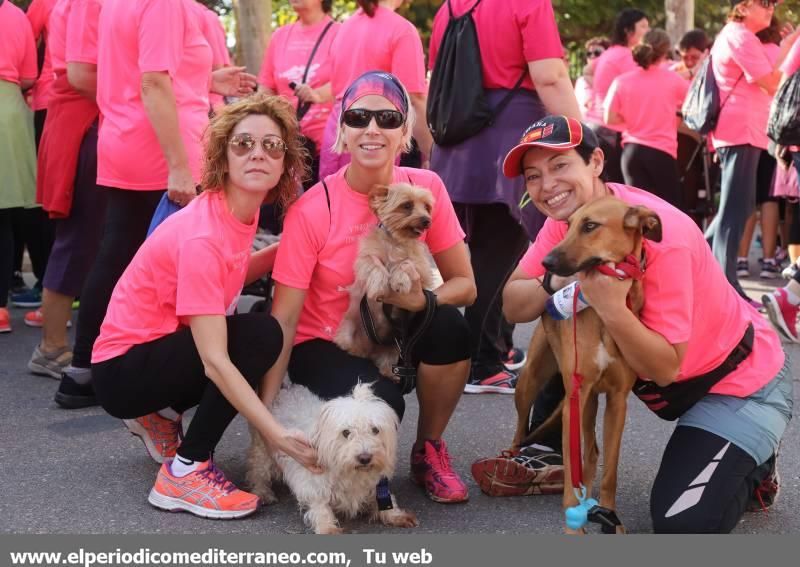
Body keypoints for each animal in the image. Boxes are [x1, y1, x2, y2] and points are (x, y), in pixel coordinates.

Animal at [245, 384, 418, 536]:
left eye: (375, 430)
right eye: (346, 432)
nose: (365, 458)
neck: (350, 472)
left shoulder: (374, 486)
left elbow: (385, 500)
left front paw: (396, 515)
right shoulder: (313, 482)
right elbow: (320, 506)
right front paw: (327, 527)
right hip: (263, 451)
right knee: (257, 472)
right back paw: (263, 493)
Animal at [336, 183, 438, 378]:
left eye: (427, 207)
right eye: (407, 205)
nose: (427, 220)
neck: (395, 242)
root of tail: (371, 348)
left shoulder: (422, 269)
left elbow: (405, 263)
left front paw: (399, 280)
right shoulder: (366, 259)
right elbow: (375, 267)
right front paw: (379, 284)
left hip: (394, 351)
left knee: (387, 363)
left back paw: (390, 373)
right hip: (349, 328)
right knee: (347, 342)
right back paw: (352, 349)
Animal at [512, 196, 664, 532]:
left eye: (590, 225)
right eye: (568, 225)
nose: (546, 263)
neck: (603, 313)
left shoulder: (617, 400)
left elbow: (610, 472)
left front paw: (610, 517)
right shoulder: (575, 397)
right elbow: (572, 468)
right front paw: (574, 521)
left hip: (592, 398)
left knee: (592, 453)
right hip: (532, 382)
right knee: (520, 429)